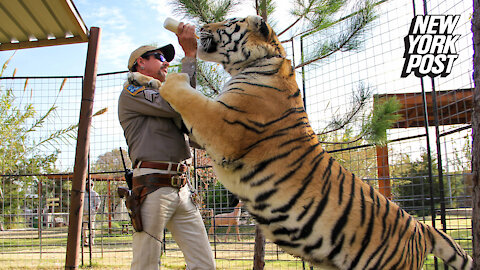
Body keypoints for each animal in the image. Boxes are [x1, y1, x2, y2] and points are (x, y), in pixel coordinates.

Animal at [130, 15, 472, 270]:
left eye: (228, 23)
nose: (200, 27)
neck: (255, 63)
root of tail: (421, 227)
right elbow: (164, 90)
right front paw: (140, 79)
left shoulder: (221, 125)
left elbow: (184, 93)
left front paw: (170, 78)